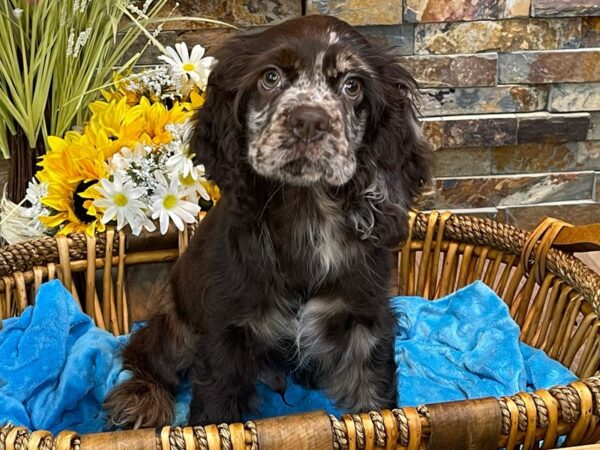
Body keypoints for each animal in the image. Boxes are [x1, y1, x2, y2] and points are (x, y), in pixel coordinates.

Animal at [104, 14, 432, 428]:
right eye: (271, 78)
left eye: (353, 86)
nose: (309, 121)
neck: (306, 213)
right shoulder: (226, 332)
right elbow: (215, 410)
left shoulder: (365, 322)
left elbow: (375, 401)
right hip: (177, 326)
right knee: (142, 353)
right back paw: (142, 399)